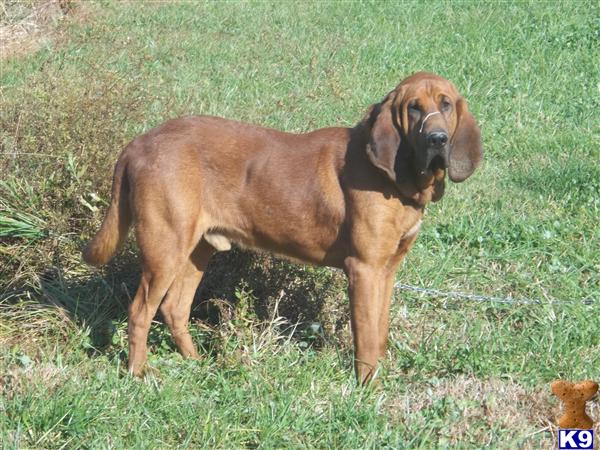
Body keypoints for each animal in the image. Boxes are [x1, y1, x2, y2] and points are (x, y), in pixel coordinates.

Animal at [83, 71, 482, 384]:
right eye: (414, 107)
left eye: (446, 105)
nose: (437, 140)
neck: (399, 180)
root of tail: (138, 143)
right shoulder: (365, 269)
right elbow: (367, 338)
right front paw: (368, 389)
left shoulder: (387, 270)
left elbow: (380, 332)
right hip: (164, 250)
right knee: (140, 312)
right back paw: (138, 373)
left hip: (197, 251)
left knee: (174, 310)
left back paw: (196, 363)